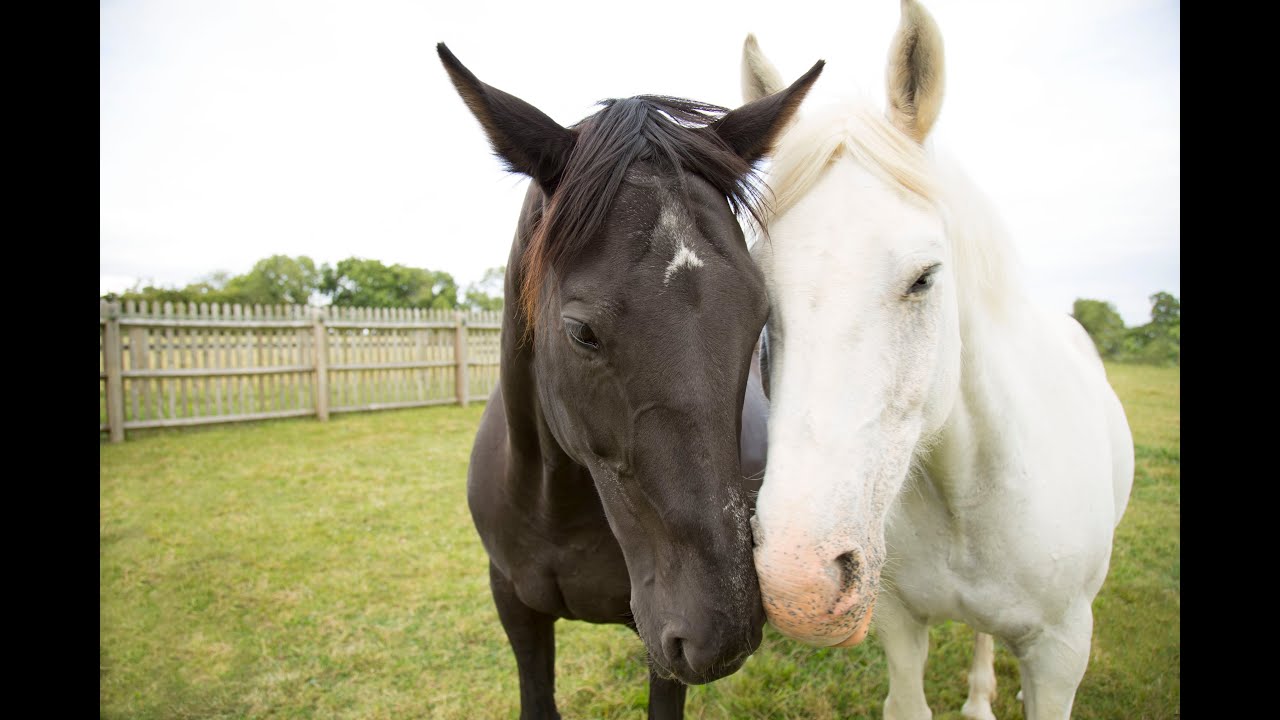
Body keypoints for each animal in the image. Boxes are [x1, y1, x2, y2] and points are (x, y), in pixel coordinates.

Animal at [437, 44, 823, 718]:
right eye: (581, 332)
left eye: (758, 315)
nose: (722, 631)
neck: (554, 506)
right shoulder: (514, 604)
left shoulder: (659, 648)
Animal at [737, 3, 1134, 719]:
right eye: (758, 290)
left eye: (925, 277)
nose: (799, 584)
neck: (968, 497)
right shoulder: (898, 624)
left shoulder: (1063, 651)